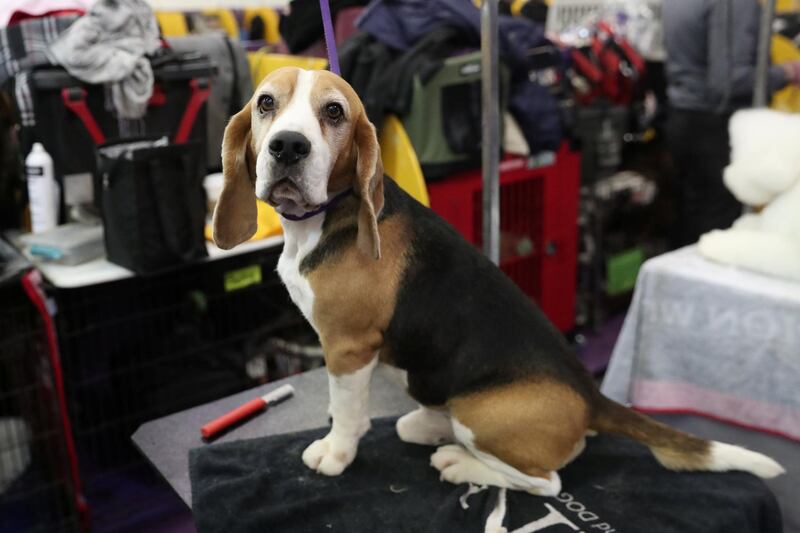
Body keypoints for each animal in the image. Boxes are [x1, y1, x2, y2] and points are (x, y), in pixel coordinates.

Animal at [211, 67, 780, 494]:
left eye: (334, 112)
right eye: (265, 103)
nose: (288, 147)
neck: (326, 217)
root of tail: (590, 394)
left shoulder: (348, 347)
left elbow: (348, 412)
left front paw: (336, 452)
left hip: (480, 414)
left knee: (546, 482)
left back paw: (460, 463)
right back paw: (429, 425)